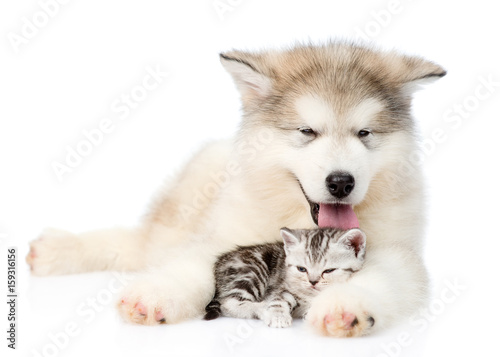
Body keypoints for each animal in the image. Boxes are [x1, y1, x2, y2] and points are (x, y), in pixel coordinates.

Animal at [204, 227, 368, 326]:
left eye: (328, 271)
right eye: (302, 269)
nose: (313, 282)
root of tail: (219, 263)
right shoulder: (282, 288)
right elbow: (278, 301)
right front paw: (278, 316)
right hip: (251, 271)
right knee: (228, 302)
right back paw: (263, 307)